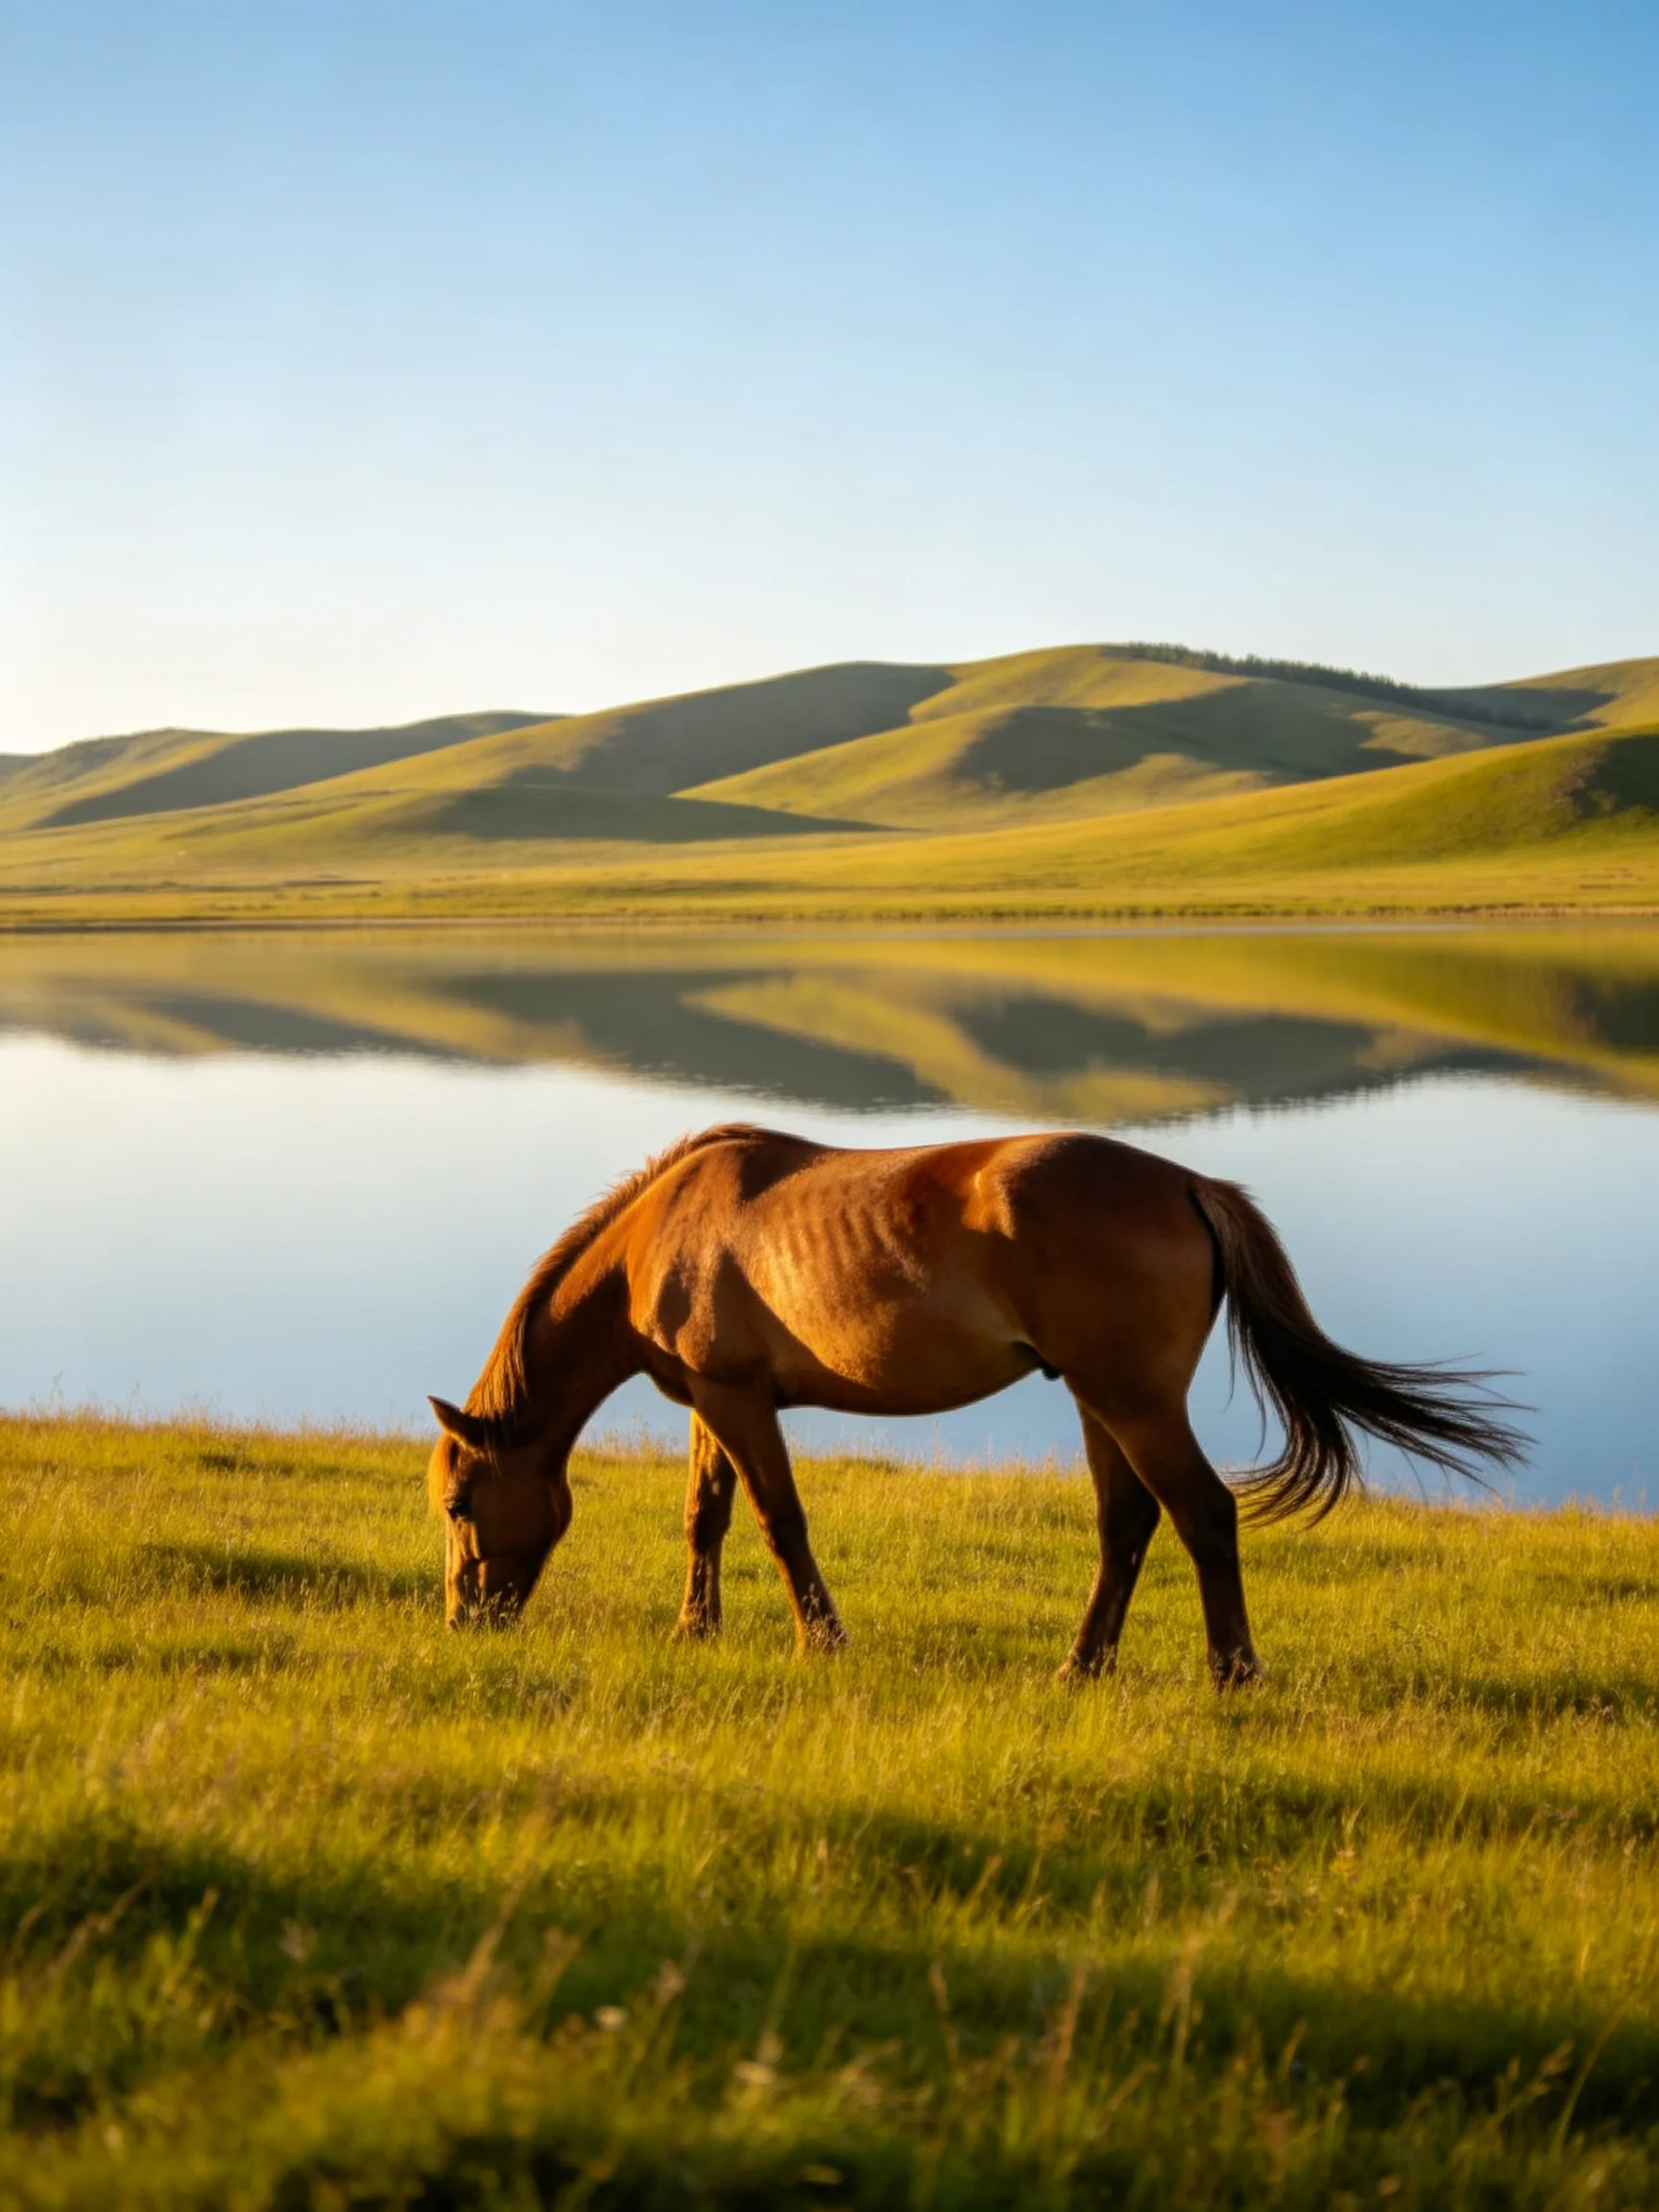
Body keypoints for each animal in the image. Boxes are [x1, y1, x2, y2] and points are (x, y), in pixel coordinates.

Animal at [427, 1123, 1523, 1685]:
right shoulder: (712, 1400)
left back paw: (1231, 1672)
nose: (462, 1619)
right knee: (1126, 1523)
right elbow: (708, 1516)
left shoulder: (737, 1402)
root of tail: (1187, 1181)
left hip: (1133, 1402)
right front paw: (695, 1631)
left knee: (1202, 1514)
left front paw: (820, 1640)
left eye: (458, 1506)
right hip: (1099, 1402)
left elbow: (780, 1521)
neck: (671, 1225)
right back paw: (1083, 1664)